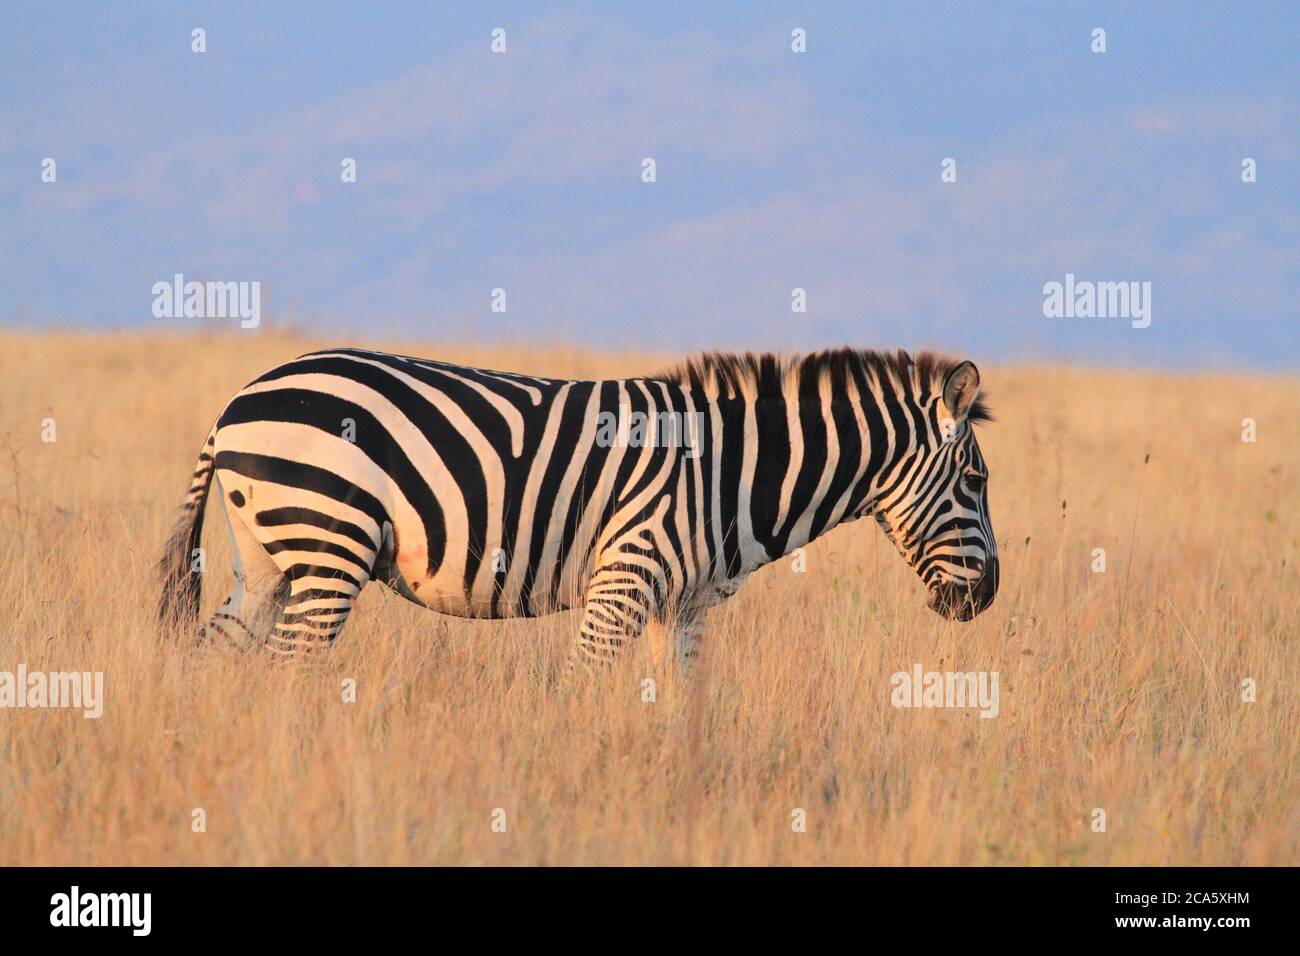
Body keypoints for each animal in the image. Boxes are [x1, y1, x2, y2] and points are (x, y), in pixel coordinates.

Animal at [158, 346, 998, 672]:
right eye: (977, 481)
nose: (986, 599)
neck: (726, 473)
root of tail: (236, 404)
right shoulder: (623, 578)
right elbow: (583, 691)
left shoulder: (683, 606)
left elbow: (680, 709)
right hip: (330, 545)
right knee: (289, 668)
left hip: (265, 563)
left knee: (216, 657)